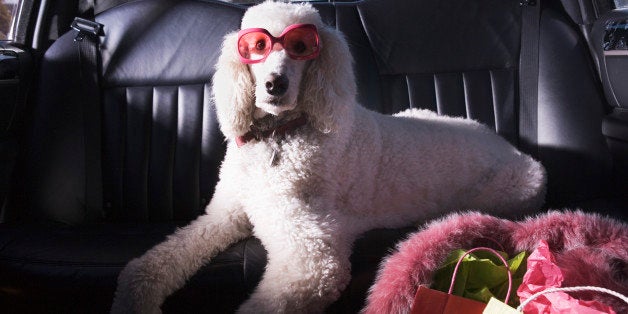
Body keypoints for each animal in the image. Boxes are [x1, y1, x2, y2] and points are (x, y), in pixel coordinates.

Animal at [111, 1, 544, 312]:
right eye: (256, 47)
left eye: (302, 48)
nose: (275, 84)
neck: (280, 137)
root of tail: (506, 145)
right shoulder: (225, 213)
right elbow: (158, 259)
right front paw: (134, 297)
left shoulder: (312, 257)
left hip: (511, 190)